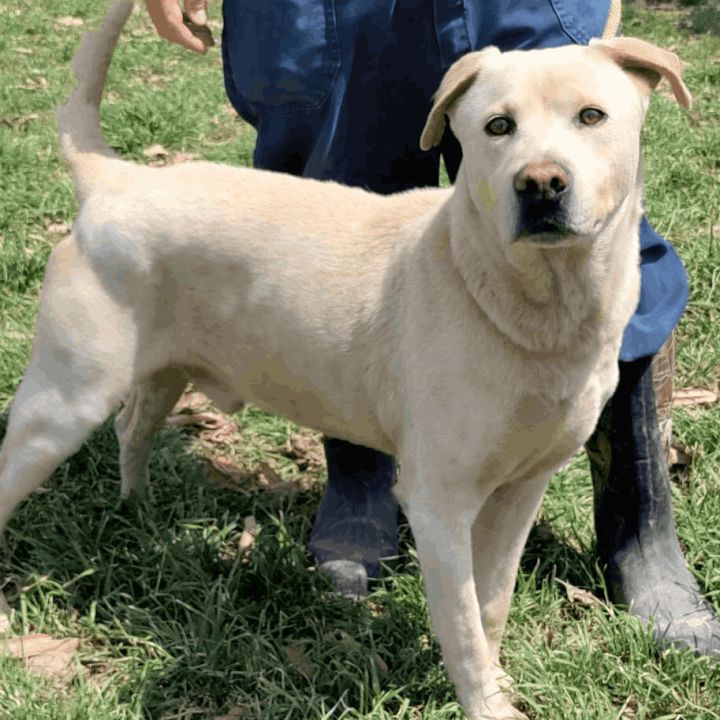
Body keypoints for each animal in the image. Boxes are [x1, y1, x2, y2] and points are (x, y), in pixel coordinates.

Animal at [0, 2, 692, 716]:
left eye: (592, 116)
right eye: (498, 126)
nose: (541, 184)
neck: (532, 304)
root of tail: (117, 178)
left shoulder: (520, 492)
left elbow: (491, 605)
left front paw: (499, 682)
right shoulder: (439, 504)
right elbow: (463, 625)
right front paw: (484, 702)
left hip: (161, 372)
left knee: (131, 427)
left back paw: (138, 513)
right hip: (59, 406)